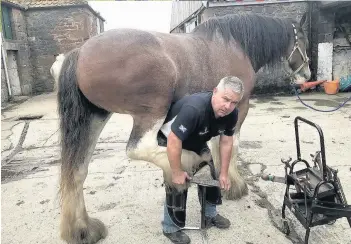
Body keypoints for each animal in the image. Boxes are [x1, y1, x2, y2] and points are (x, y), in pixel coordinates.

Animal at [56, 13, 312, 244]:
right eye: (303, 40)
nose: (307, 74)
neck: (234, 46)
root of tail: (79, 52)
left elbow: (219, 146)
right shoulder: (240, 107)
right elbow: (232, 146)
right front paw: (234, 185)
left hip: (94, 117)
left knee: (77, 169)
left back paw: (83, 230)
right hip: (152, 110)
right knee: (138, 148)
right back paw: (183, 164)